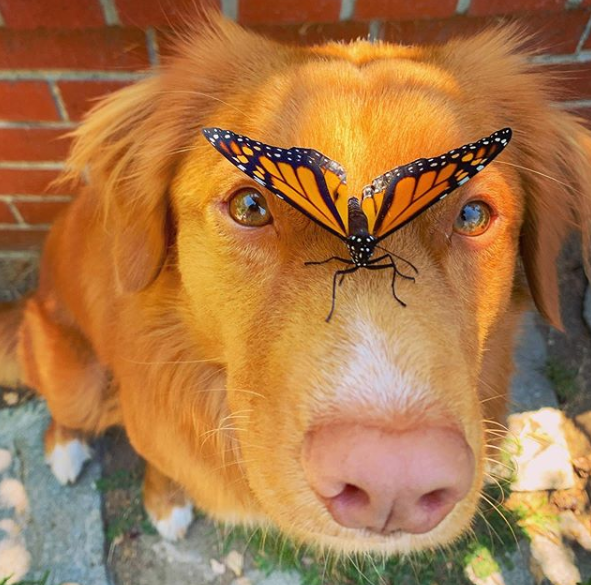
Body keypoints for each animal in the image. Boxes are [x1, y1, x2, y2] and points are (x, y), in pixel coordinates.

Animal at [1, 12, 591, 552]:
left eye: (472, 216)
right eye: (250, 206)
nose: (393, 485)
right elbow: (161, 462)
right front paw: (165, 502)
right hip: (77, 379)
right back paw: (64, 447)